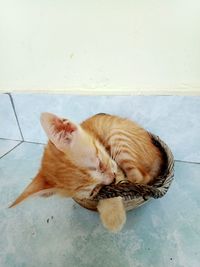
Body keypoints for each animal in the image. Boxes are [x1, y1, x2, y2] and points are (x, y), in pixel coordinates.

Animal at [9, 112, 162, 232]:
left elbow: (117, 182)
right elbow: (111, 188)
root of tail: (158, 156)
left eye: (100, 163)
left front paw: (113, 217)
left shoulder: (114, 164)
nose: (110, 179)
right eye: (93, 190)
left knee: (142, 177)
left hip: (117, 136)